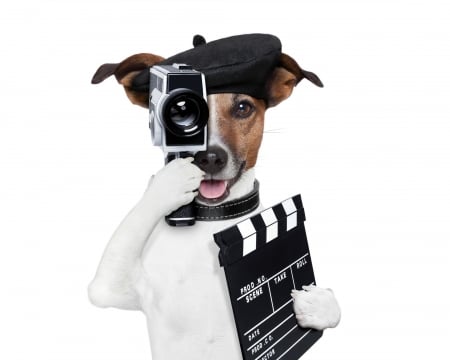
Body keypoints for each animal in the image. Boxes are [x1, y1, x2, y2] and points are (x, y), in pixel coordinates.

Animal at [89, 34, 340, 360]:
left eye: (243, 107)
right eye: (176, 110)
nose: (208, 158)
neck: (211, 221)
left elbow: (332, 306)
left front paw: (316, 303)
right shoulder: (112, 287)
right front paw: (168, 183)